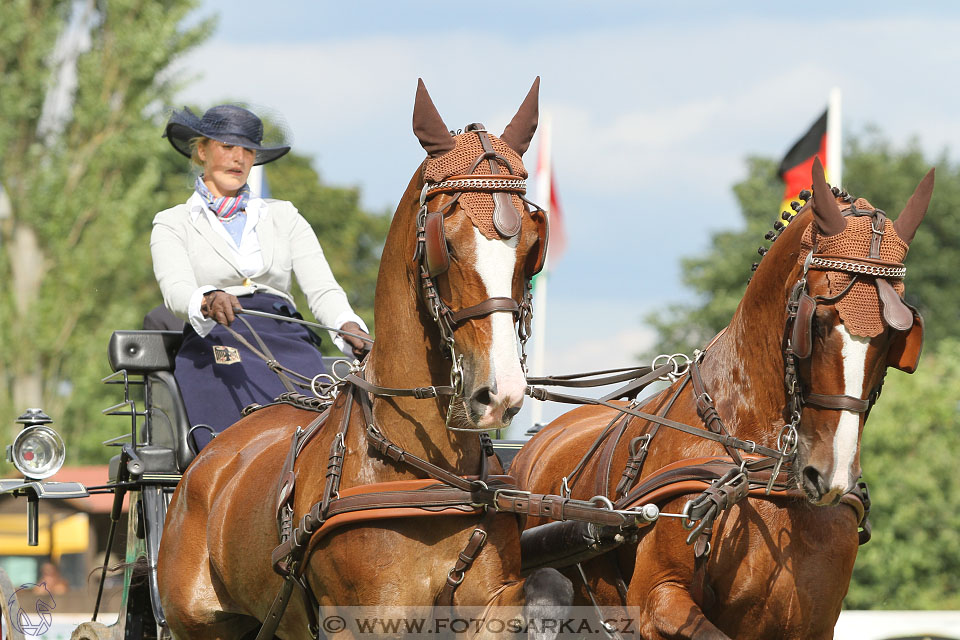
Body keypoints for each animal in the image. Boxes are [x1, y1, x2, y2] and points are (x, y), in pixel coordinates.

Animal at [158, 81, 568, 640]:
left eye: (531, 243)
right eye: (446, 241)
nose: (500, 393)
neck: (422, 473)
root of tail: (207, 460)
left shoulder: (491, 608)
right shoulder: (367, 617)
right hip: (199, 624)